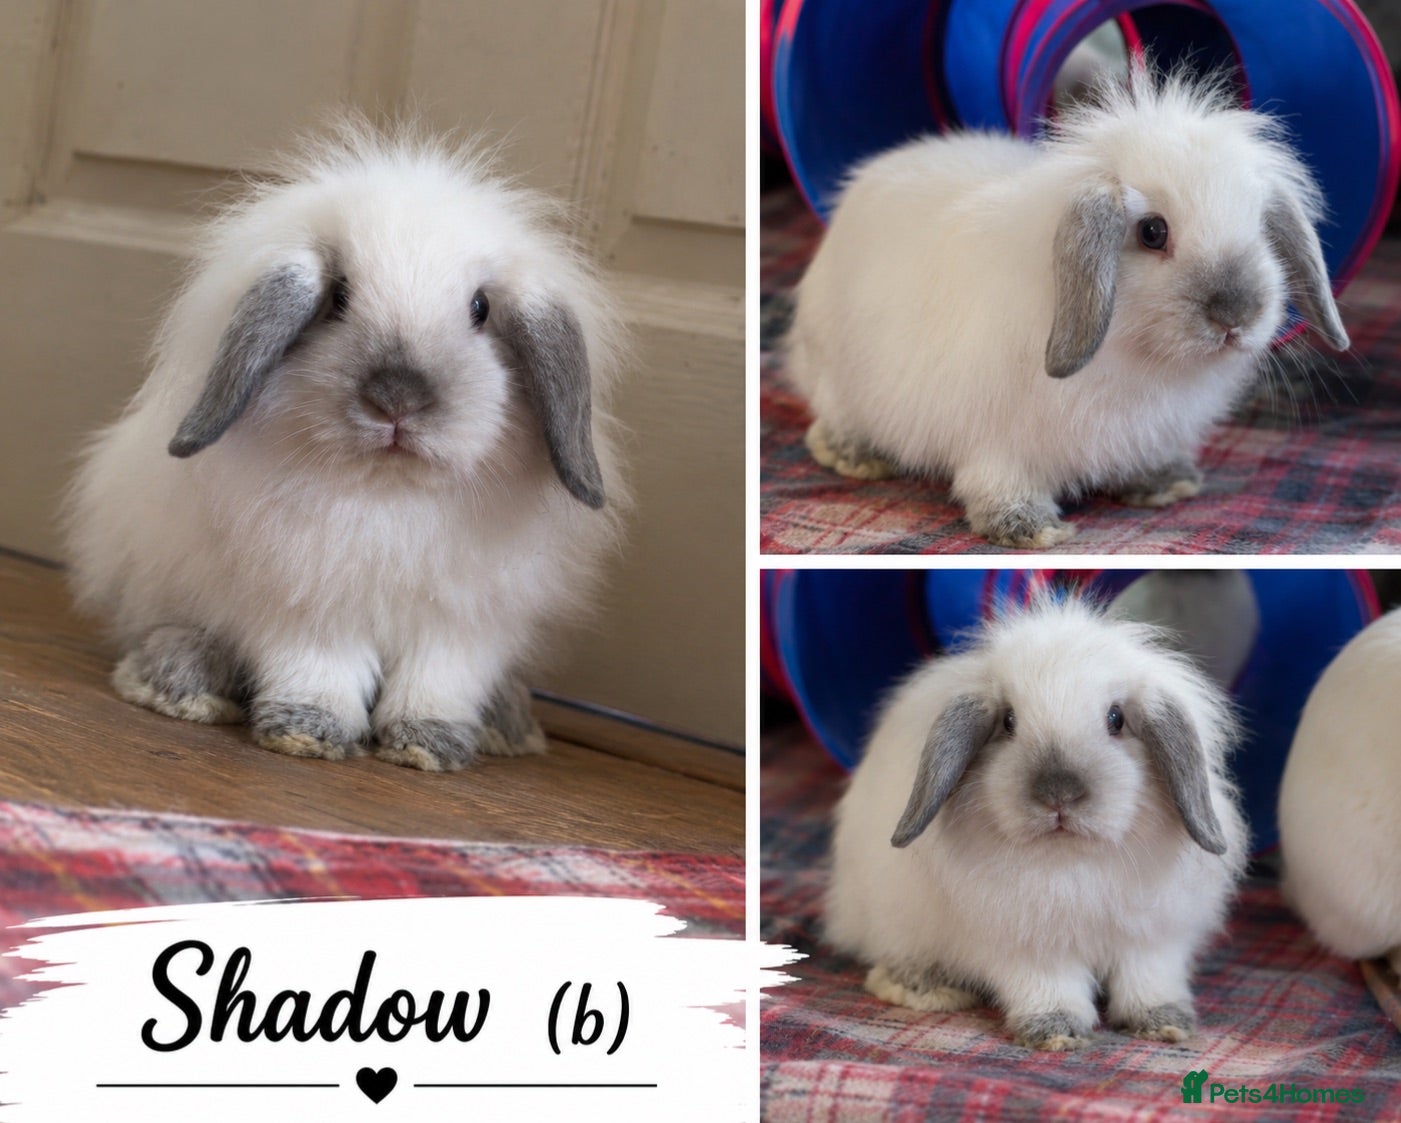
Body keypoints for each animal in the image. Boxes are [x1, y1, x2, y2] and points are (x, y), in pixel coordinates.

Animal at [63, 118, 627, 771]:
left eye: (481, 308)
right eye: (337, 298)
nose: (397, 399)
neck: (389, 493)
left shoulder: (463, 625)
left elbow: (437, 684)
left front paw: (426, 748)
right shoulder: (304, 604)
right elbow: (318, 670)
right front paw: (307, 733)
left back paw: (507, 725)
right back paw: (180, 683)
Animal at [786, 63, 1350, 548]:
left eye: (1259, 226)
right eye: (1153, 231)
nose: (1236, 315)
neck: (1135, 353)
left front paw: (1167, 484)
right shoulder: (995, 443)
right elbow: (997, 484)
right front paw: (1030, 529)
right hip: (839, 380)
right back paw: (855, 457)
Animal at [826, 596, 1248, 1050]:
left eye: (1116, 719)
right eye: (1008, 721)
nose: (1058, 794)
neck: (1070, 862)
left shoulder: (1154, 939)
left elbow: (1149, 980)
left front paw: (1164, 1022)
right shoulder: (1027, 948)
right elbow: (1050, 988)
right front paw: (1056, 1031)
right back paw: (924, 987)